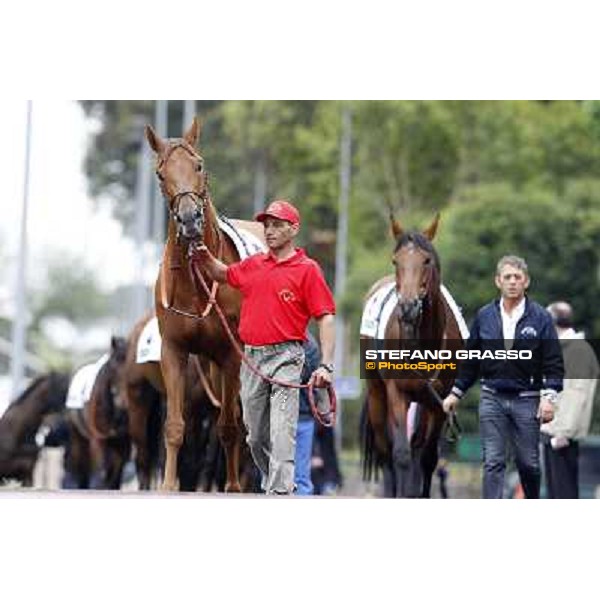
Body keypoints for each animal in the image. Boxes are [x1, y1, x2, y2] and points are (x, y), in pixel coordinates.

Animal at [360, 214, 464, 496]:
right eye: (396, 261)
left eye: (426, 260)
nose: (407, 308)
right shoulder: (397, 391)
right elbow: (401, 454)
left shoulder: (439, 399)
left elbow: (427, 458)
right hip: (377, 394)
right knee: (386, 451)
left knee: (418, 447)